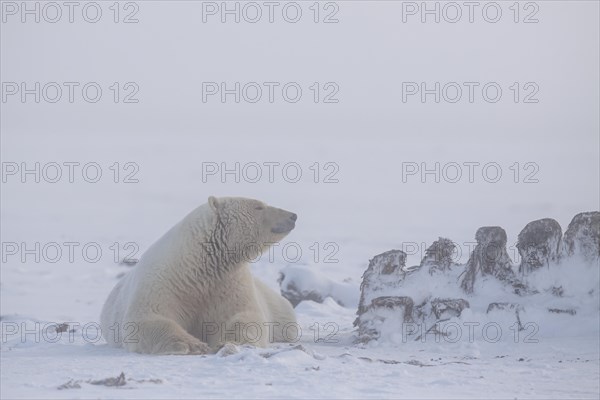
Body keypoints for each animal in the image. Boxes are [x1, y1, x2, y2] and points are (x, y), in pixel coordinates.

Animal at [103, 195, 302, 354]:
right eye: (258, 207)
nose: (293, 215)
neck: (196, 267)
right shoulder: (163, 283)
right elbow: (148, 318)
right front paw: (193, 345)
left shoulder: (229, 283)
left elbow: (243, 315)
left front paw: (228, 342)